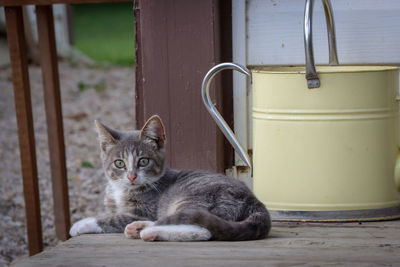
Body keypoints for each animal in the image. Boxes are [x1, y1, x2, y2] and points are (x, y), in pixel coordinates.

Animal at [69, 115, 272, 243]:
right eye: (119, 163)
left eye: (143, 161)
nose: (132, 176)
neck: (123, 190)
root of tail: (255, 202)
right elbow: (111, 213)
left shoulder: (145, 210)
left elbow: (113, 218)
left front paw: (81, 224)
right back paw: (139, 228)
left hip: (197, 197)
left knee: (201, 228)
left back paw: (149, 231)